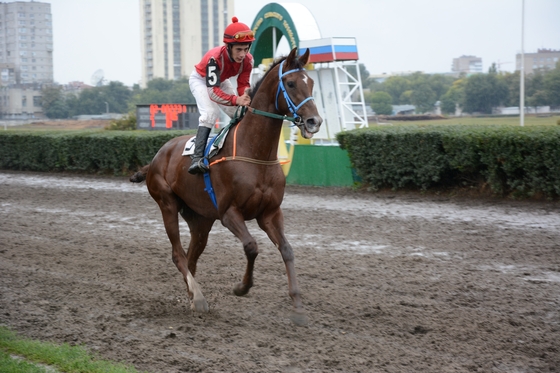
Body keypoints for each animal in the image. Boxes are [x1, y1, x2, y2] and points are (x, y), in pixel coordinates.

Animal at [131, 48, 322, 324]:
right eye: (291, 83)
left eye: (311, 82)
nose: (313, 121)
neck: (255, 153)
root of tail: (158, 155)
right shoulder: (229, 213)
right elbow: (251, 247)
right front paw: (241, 287)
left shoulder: (270, 213)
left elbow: (287, 250)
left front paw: (297, 307)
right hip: (167, 204)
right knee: (178, 254)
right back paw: (199, 298)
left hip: (200, 219)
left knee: (191, 257)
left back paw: (192, 295)